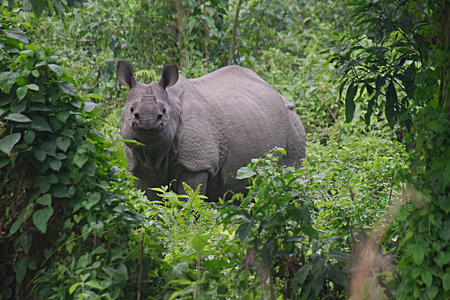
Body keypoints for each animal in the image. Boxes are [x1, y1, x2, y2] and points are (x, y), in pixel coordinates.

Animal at [116, 60, 306, 202]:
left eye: (163, 112)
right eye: (132, 110)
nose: (148, 121)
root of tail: (276, 91)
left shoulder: (196, 164)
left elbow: (189, 201)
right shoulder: (138, 168)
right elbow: (152, 203)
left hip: (291, 119)